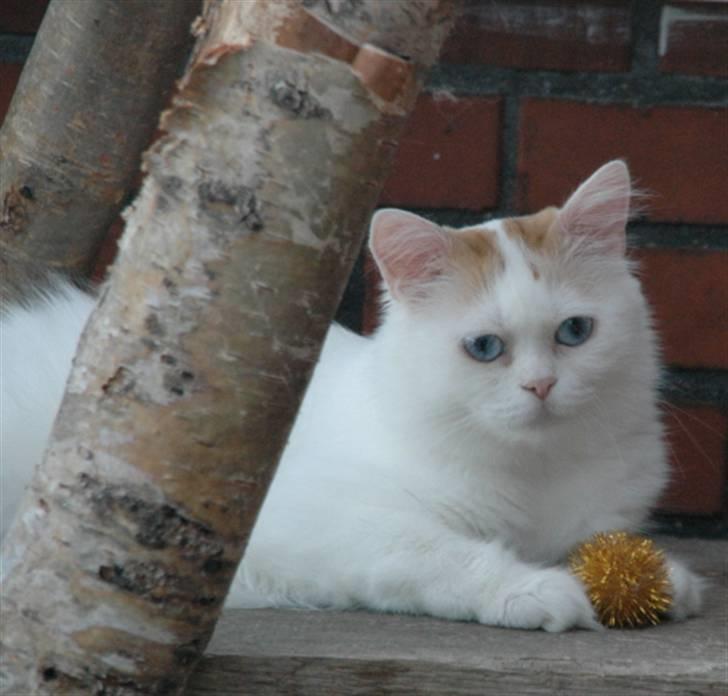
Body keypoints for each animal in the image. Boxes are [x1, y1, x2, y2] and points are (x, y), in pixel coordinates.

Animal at [0, 162, 704, 632]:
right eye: (484, 348)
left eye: (574, 333)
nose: (541, 385)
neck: (534, 473)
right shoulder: (319, 520)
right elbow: (440, 552)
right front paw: (535, 591)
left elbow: (601, 543)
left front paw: (666, 579)